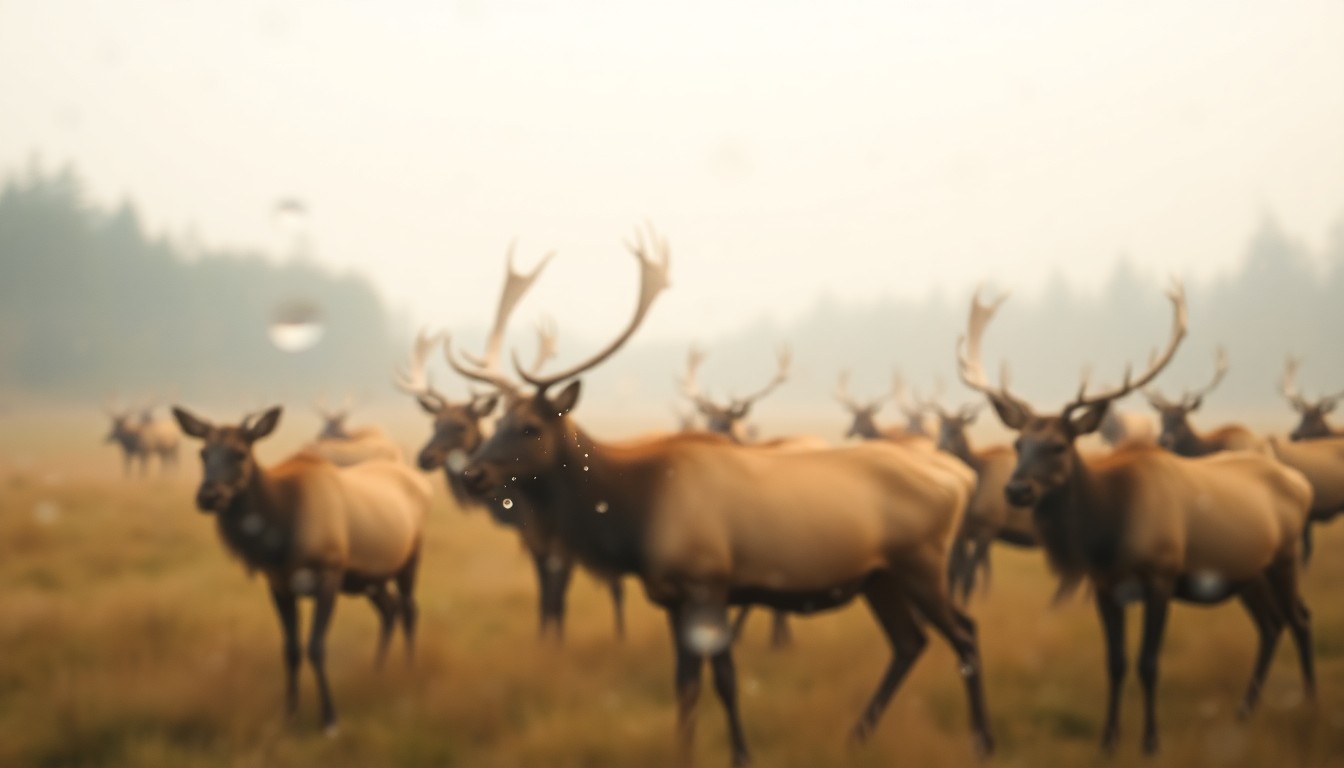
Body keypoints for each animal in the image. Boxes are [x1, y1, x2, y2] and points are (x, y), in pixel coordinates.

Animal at [172, 405, 431, 735]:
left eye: (240, 453)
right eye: (203, 452)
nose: (208, 496)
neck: (280, 532)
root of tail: (424, 484)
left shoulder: (329, 574)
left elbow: (316, 647)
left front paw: (330, 719)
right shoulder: (279, 583)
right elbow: (291, 650)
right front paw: (287, 715)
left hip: (410, 557)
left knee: (409, 608)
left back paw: (409, 671)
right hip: (369, 579)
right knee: (390, 609)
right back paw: (377, 671)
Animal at [395, 250, 626, 642]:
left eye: (460, 425)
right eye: (433, 424)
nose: (424, 457)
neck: (506, 504)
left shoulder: (543, 534)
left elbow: (554, 592)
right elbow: (546, 592)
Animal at [450, 227, 994, 767]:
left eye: (530, 426)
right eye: (498, 420)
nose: (473, 473)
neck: (635, 518)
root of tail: (956, 479)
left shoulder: (707, 582)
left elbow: (726, 681)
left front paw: (740, 754)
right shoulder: (672, 596)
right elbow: (685, 684)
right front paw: (682, 750)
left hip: (921, 562)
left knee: (965, 633)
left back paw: (981, 741)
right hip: (879, 577)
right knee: (910, 642)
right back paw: (857, 735)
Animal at [925, 398, 1037, 603]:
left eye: (958, 429)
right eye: (940, 427)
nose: (941, 449)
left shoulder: (988, 528)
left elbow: (969, 576)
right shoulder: (962, 530)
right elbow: (954, 572)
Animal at [956, 281, 1315, 755]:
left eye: (1058, 446)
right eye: (1018, 444)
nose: (1017, 490)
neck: (1108, 534)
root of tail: (1301, 483)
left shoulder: (1161, 576)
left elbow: (1148, 662)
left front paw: (1150, 741)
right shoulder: (1105, 586)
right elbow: (1115, 661)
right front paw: (1108, 741)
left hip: (1285, 557)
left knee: (1300, 620)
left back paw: (1311, 703)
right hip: (1248, 572)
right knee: (1272, 625)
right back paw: (1245, 710)